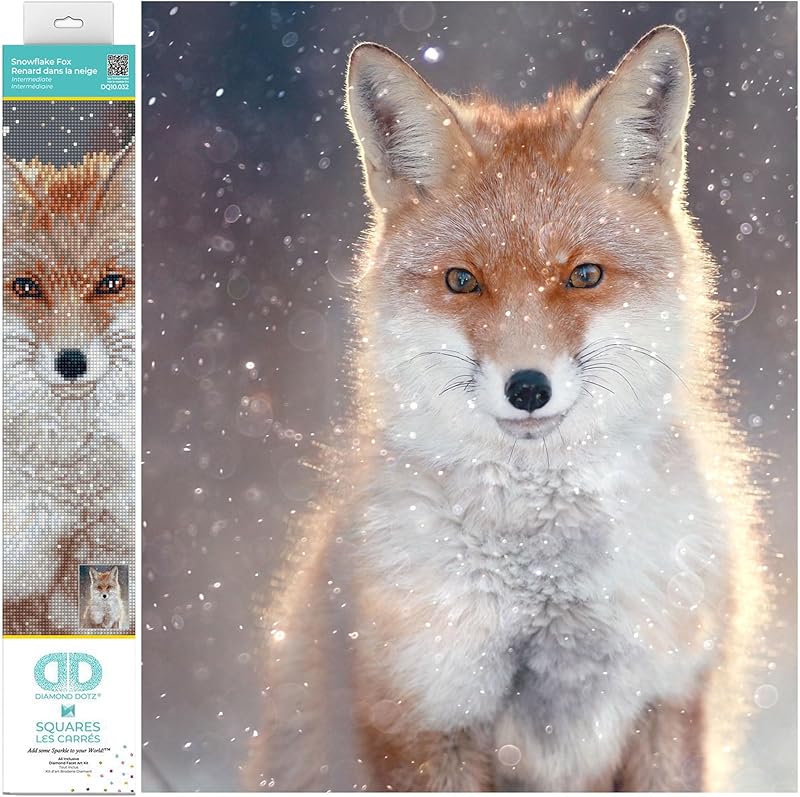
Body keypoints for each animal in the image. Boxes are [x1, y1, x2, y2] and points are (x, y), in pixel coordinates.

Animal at [245, 27, 769, 792]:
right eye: (463, 281)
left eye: (584, 275)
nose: (528, 388)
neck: (547, 583)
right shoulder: (427, 713)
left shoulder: (669, 699)